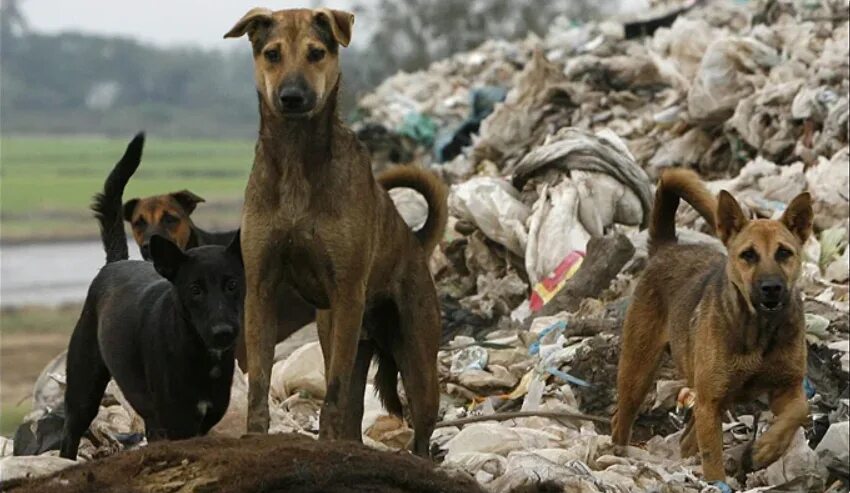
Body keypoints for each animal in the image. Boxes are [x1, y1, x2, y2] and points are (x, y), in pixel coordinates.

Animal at [58, 133, 245, 460]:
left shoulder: (201, 421)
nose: (223, 332)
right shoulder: (178, 422)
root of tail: (115, 263)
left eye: (232, 284)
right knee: (70, 435)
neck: (198, 350)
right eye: (195, 289)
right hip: (83, 390)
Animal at [225, 7, 450, 456]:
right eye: (272, 54)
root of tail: (415, 242)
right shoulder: (260, 288)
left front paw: (324, 441)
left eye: (316, 53)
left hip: (415, 350)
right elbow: (259, 381)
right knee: (354, 409)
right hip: (339, 331)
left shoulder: (347, 291)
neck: (296, 155)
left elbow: (334, 392)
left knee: (419, 422)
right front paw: (256, 437)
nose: (292, 97)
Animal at [612, 168, 812, 480]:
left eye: (784, 253)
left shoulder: (786, 389)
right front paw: (719, 481)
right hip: (638, 373)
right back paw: (619, 455)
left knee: (686, 439)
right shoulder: (710, 402)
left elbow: (800, 410)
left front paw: (765, 449)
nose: (771, 288)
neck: (759, 330)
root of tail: (666, 248)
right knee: (622, 419)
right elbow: (713, 458)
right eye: (748, 255)